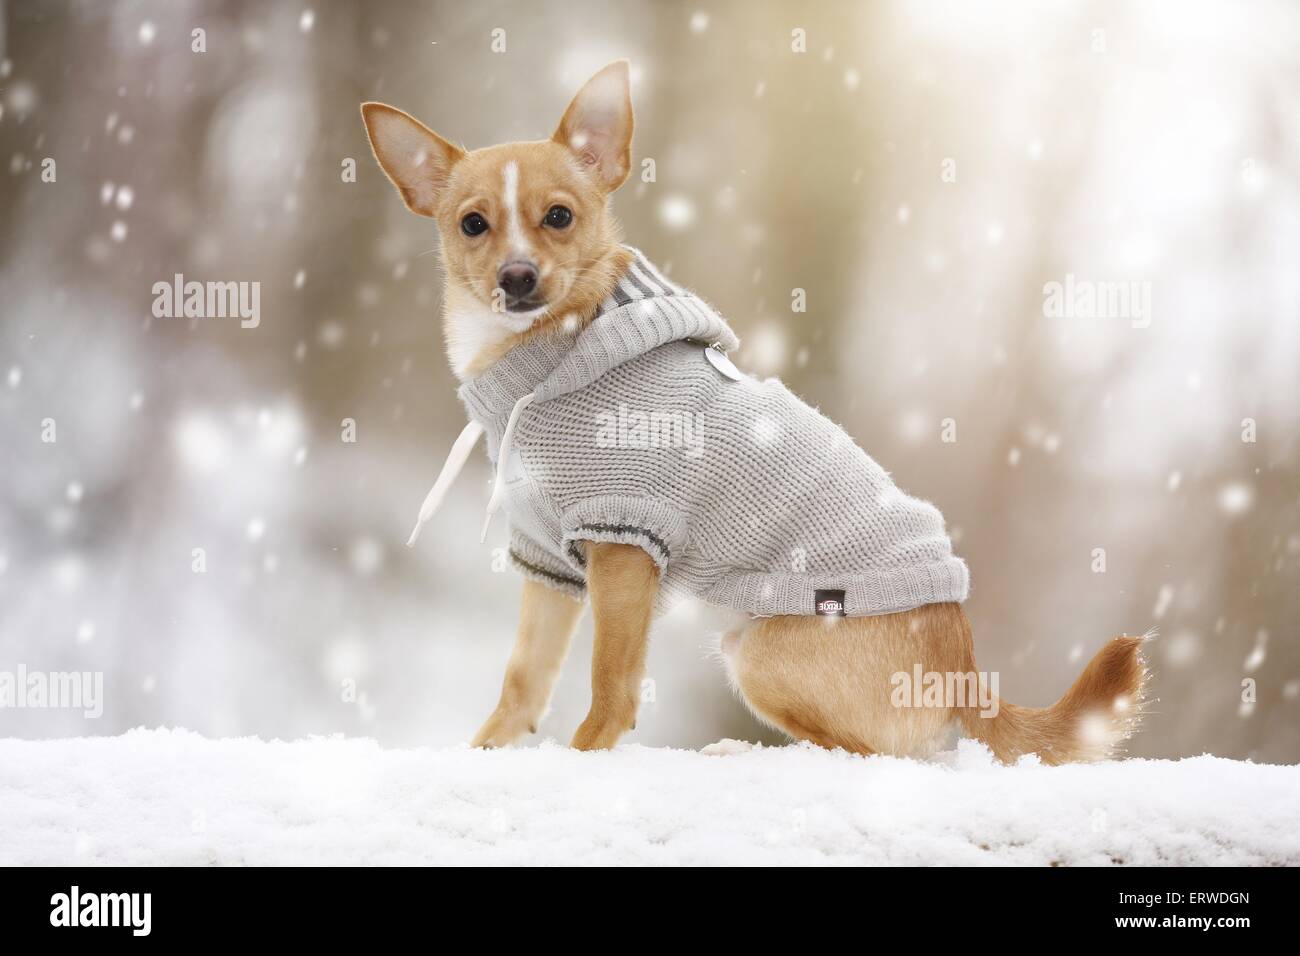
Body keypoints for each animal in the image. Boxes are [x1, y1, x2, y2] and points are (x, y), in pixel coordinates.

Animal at [358, 59, 1149, 764]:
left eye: (559, 217)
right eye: (472, 225)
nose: (517, 276)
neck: (545, 356)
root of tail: (965, 673)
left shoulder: (624, 544)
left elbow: (610, 686)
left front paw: (584, 758)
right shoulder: (549, 560)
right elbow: (524, 678)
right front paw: (488, 751)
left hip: (760, 650)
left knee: (875, 754)